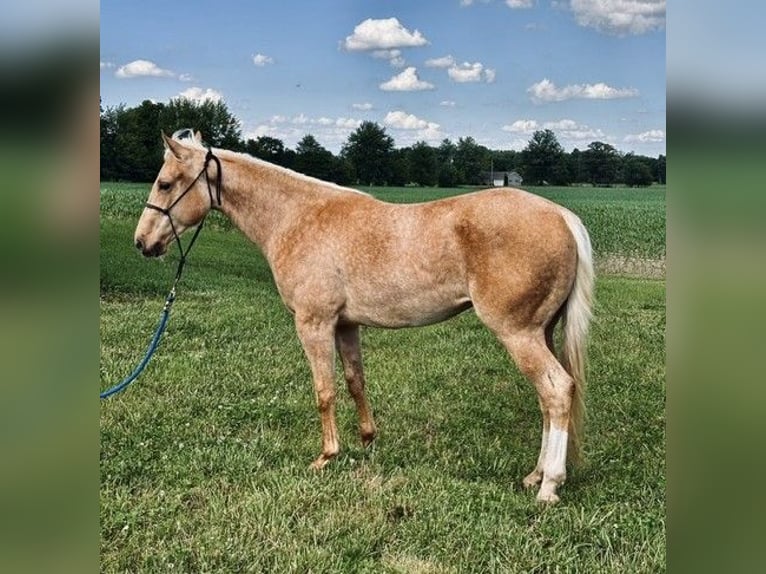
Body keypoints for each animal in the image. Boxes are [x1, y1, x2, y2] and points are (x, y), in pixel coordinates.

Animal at [134, 130, 594, 503]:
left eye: (165, 183)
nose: (142, 242)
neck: (297, 217)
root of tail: (562, 216)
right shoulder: (346, 325)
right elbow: (356, 382)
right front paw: (368, 441)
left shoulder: (314, 324)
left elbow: (325, 390)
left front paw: (327, 456)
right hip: (541, 332)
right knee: (548, 398)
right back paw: (535, 475)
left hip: (518, 334)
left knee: (556, 390)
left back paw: (549, 486)